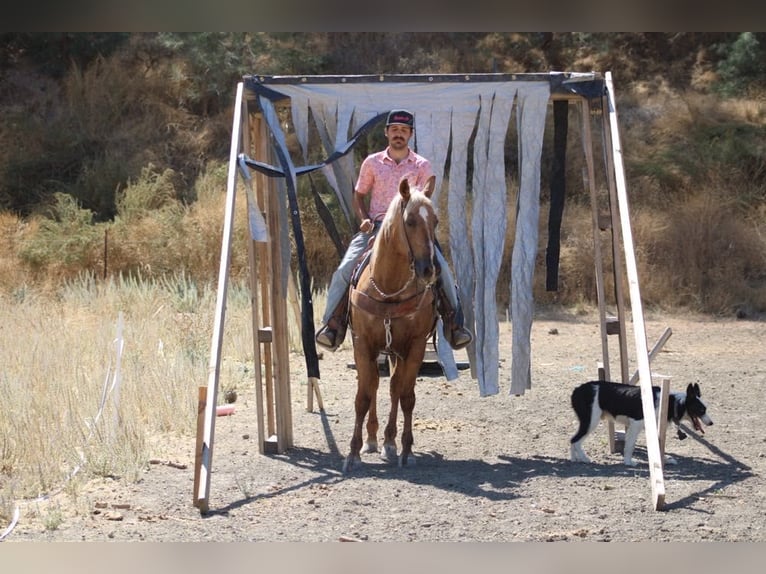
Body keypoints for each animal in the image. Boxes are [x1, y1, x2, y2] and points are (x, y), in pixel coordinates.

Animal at [344, 178, 440, 474]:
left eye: (436, 221)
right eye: (409, 221)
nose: (428, 270)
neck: (389, 288)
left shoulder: (415, 346)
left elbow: (406, 395)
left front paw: (406, 450)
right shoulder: (362, 343)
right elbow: (363, 396)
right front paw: (352, 453)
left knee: (394, 387)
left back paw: (388, 441)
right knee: (375, 385)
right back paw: (373, 440)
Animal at [568, 382, 712, 468]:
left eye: (705, 409)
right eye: (701, 410)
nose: (711, 423)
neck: (673, 403)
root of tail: (577, 390)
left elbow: (659, 446)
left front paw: (665, 460)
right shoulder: (635, 425)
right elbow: (630, 446)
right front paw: (628, 462)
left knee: (572, 440)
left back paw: (574, 459)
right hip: (591, 422)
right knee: (576, 440)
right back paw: (584, 458)